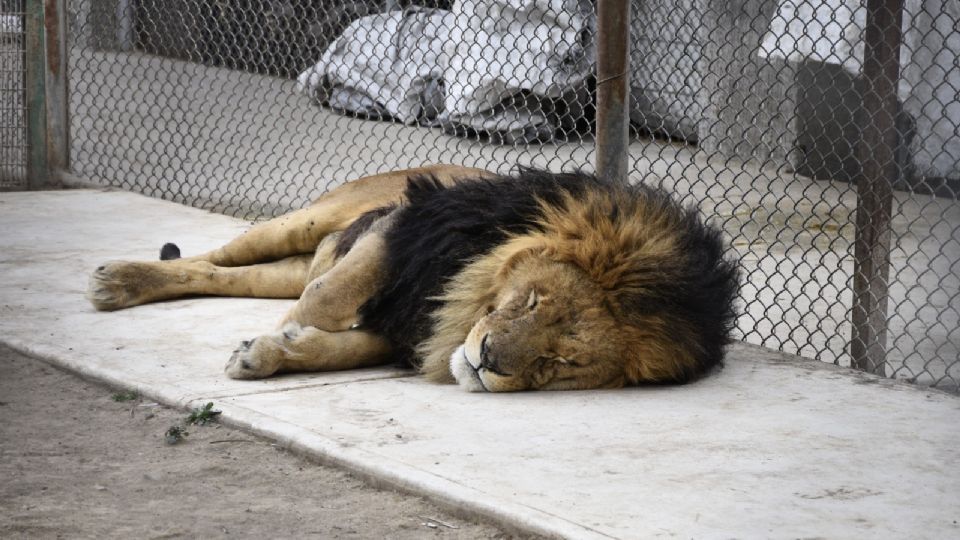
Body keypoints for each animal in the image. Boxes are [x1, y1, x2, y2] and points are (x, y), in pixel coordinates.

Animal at [90, 166, 740, 392]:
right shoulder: (408, 222)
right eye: (532, 301)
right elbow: (326, 299)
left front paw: (267, 352)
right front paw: (283, 333)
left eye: (563, 361)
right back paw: (116, 280)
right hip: (308, 220)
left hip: (288, 262)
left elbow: (335, 346)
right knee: (211, 257)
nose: (487, 361)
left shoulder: (404, 331)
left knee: (222, 275)